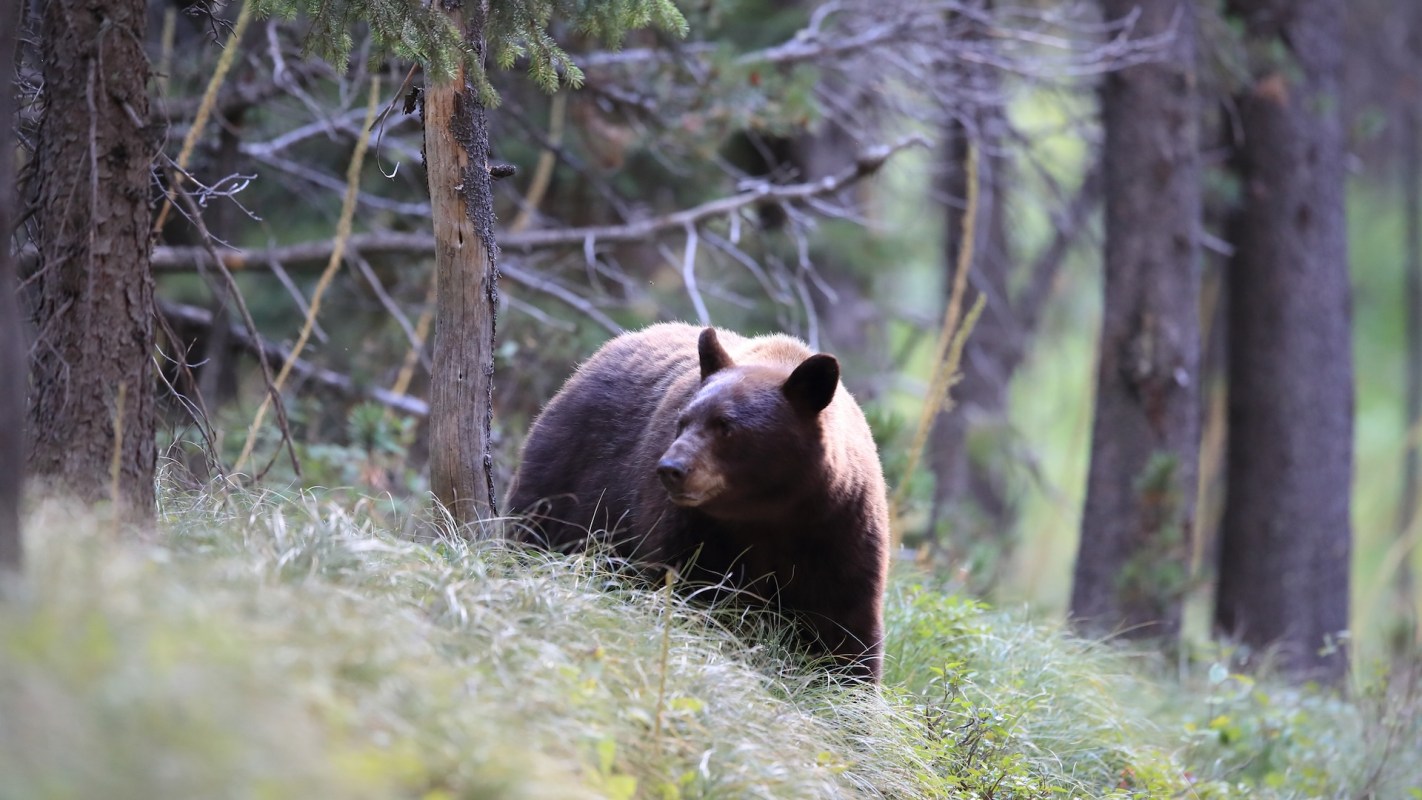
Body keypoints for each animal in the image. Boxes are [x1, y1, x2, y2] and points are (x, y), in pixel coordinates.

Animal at [506, 322, 891, 681]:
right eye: (683, 421)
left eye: (726, 426)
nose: (670, 468)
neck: (767, 513)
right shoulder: (695, 529)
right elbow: (687, 587)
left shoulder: (838, 530)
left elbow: (844, 624)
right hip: (565, 482)